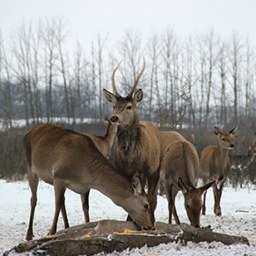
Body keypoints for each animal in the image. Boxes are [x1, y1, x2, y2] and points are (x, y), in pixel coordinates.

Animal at [103, 62, 161, 224]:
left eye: (129, 106)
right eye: (114, 106)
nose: (114, 117)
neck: (129, 158)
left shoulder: (142, 170)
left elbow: (144, 196)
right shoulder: (122, 170)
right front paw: (130, 219)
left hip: (156, 169)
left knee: (153, 196)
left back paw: (153, 218)